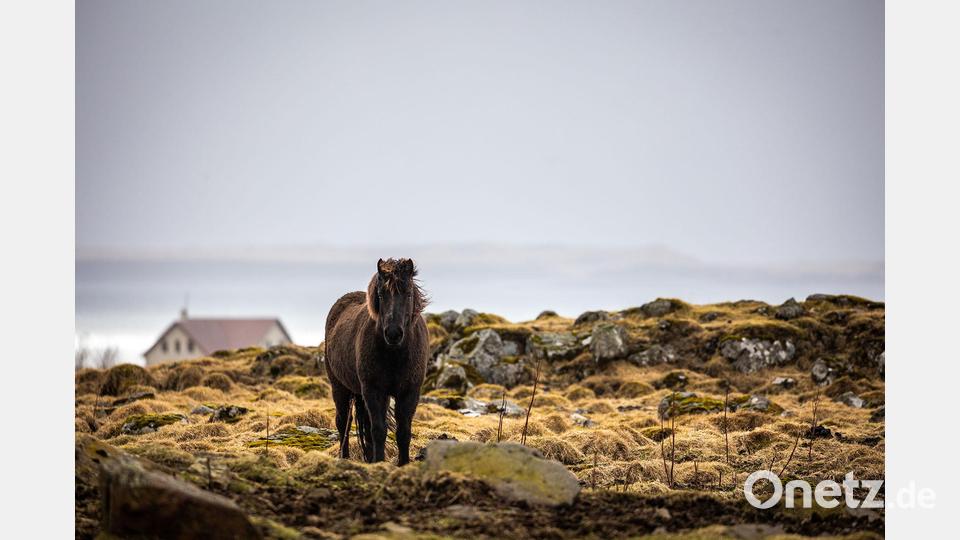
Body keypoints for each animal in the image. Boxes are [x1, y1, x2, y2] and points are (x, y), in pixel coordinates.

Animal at [323, 258, 429, 464]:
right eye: (381, 293)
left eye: (408, 293)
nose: (393, 333)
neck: (395, 354)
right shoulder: (374, 390)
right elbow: (378, 430)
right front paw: (379, 463)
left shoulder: (410, 391)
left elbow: (403, 431)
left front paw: (403, 464)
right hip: (339, 386)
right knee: (343, 422)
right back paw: (344, 458)